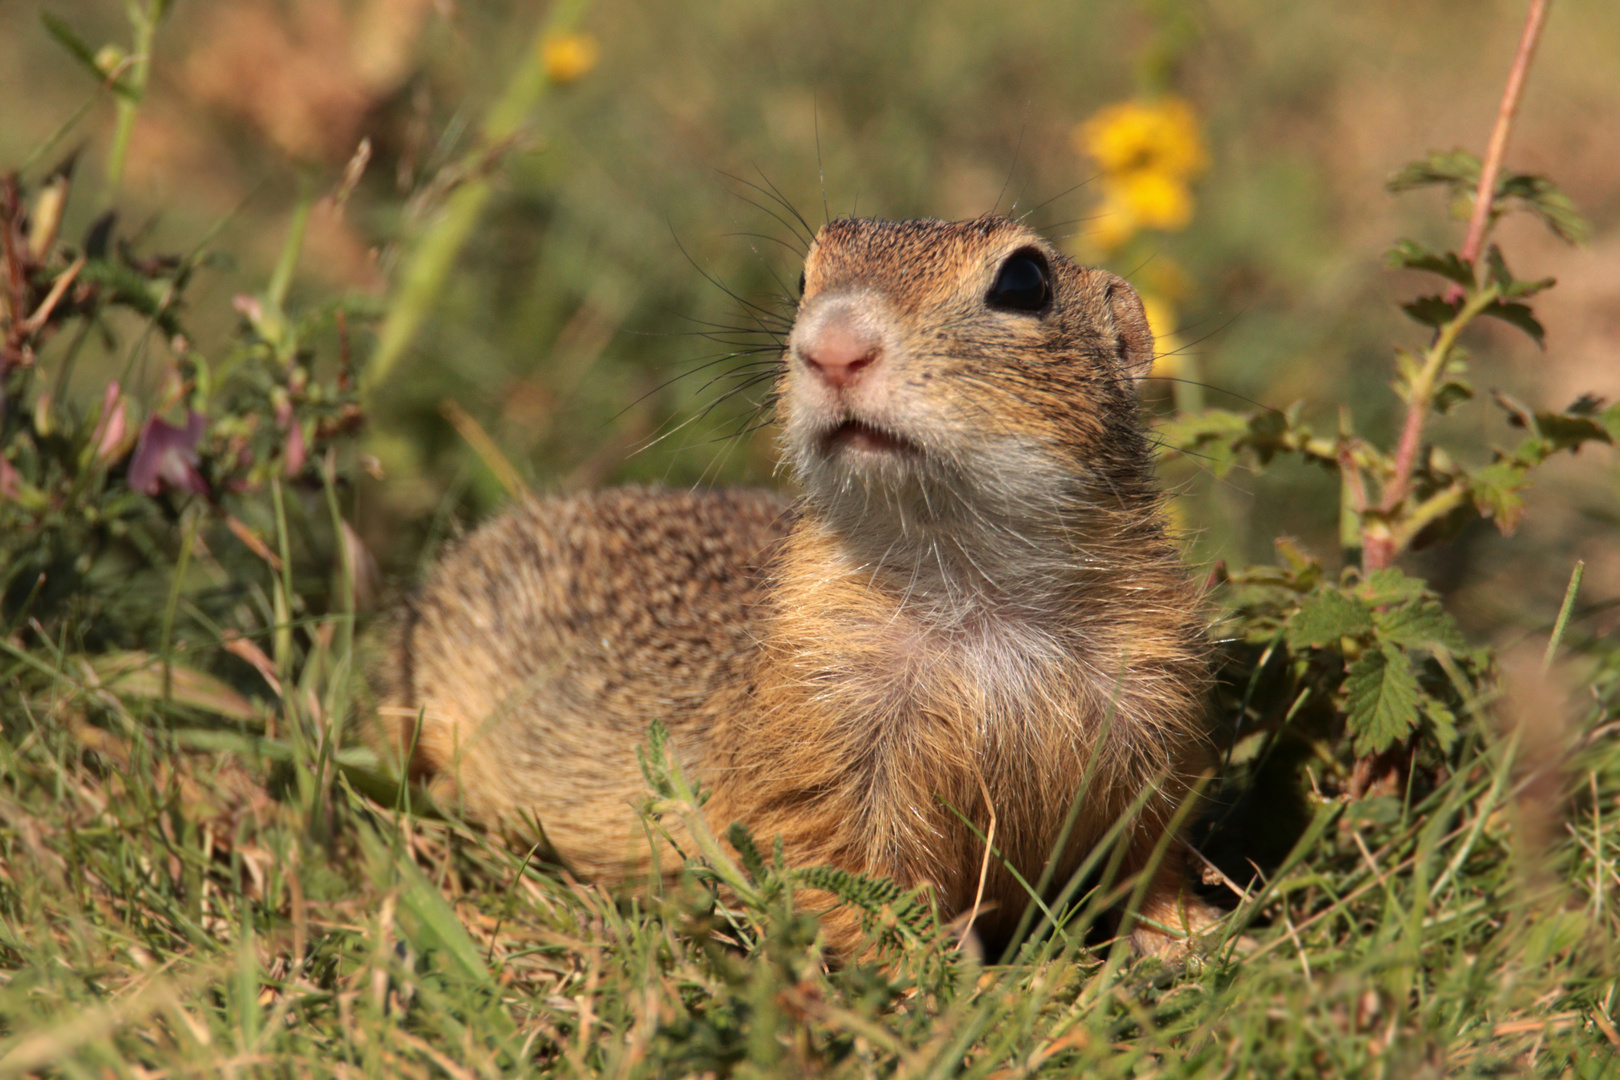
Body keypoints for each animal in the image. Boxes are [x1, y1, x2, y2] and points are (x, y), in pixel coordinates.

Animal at [379, 215, 1218, 958]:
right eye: (804, 279)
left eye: (1025, 281)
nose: (833, 346)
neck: (977, 587)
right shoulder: (820, 719)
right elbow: (847, 872)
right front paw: (945, 986)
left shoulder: (1154, 696)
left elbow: (1150, 847)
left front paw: (1192, 935)